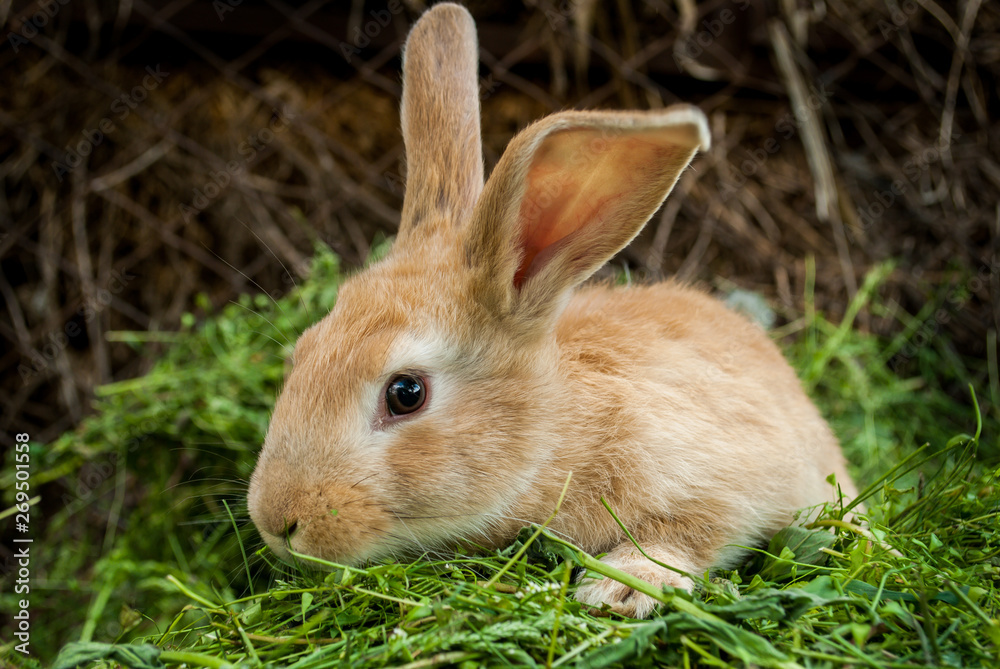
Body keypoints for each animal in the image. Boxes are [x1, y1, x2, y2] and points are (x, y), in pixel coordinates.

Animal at [246, 2, 858, 619]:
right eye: (302, 351)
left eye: (406, 393)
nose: (277, 520)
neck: (557, 433)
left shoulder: (728, 472)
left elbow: (693, 532)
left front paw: (622, 586)